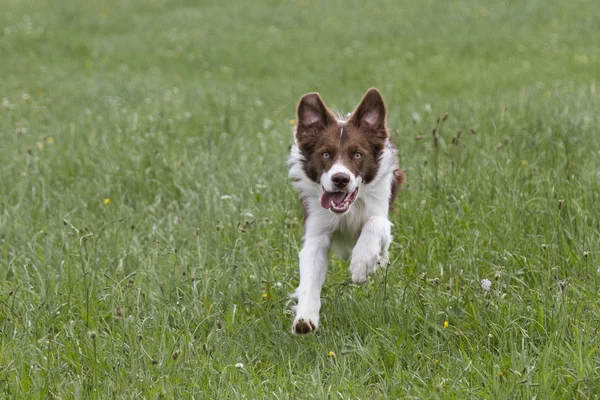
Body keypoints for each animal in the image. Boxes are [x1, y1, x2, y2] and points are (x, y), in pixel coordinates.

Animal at [288, 88, 406, 334]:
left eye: (358, 154)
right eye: (325, 154)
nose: (340, 179)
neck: (348, 209)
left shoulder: (382, 213)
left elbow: (373, 223)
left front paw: (361, 265)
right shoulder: (317, 230)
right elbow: (310, 273)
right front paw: (305, 318)